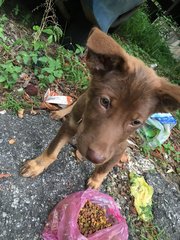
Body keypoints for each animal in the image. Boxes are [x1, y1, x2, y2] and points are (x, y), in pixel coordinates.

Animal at [20, 27, 180, 189]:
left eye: (136, 122)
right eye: (104, 101)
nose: (95, 158)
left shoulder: (119, 148)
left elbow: (105, 167)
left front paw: (96, 182)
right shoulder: (70, 125)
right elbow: (53, 149)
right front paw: (38, 165)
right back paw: (61, 112)